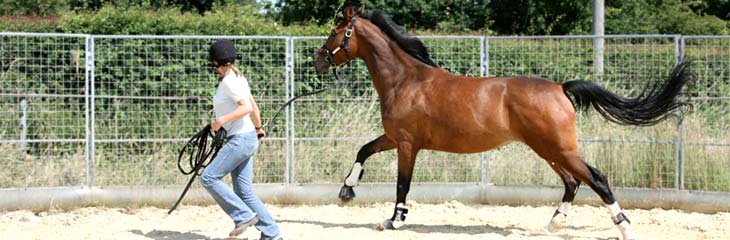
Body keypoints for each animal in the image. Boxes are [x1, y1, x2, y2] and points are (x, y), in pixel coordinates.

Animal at [310, 5, 692, 240]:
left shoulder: (406, 144)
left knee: (596, 178)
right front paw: (346, 191)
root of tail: (560, 87)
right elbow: (363, 150)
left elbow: (402, 184)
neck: (407, 80)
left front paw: (393, 220)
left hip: (559, 148)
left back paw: (624, 228)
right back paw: (551, 224)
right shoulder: (393, 137)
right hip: (548, 150)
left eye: (335, 31)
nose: (318, 61)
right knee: (572, 182)